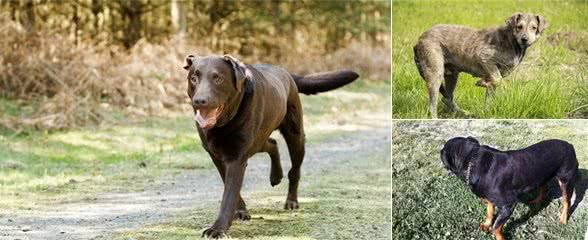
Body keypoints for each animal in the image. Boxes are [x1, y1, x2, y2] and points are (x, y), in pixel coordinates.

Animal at [183, 54, 358, 238]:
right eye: (193, 78)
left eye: (218, 78)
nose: (199, 101)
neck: (223, 124)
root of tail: (286, 72)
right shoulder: (217, 156)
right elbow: (230, 186)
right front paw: (240, 211)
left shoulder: (237, 158)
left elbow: (229, 195)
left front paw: (218, 228)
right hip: (259, 140)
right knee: (272, 144)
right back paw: (275, 176)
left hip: (295, 137)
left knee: (294, 171)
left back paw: (291, 201)